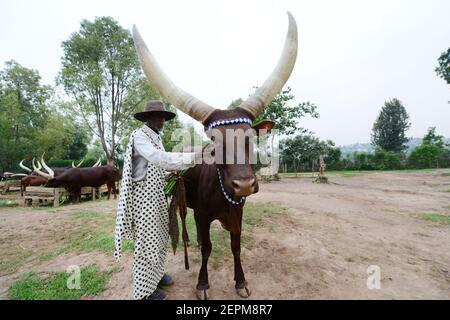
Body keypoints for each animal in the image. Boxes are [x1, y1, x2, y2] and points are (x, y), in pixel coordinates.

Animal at [132, 10, 298, 300]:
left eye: (252, 136)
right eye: (213, 140)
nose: (244, 185)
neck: (223, 195)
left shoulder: (238, 214)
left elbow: (235, 245)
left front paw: (241, 281)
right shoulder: (202, 214)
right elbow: (208, 249)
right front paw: (202, 284)